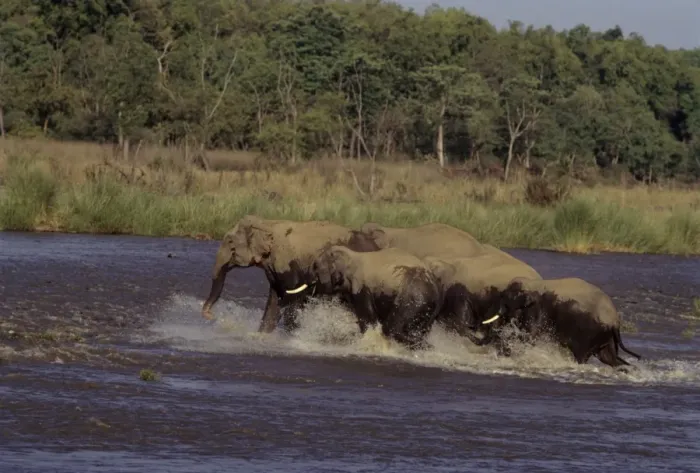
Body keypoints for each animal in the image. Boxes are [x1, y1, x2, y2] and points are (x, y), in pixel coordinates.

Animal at [201, 215, 380, 333]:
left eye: (230, 243)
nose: (209, 315)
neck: (266, 223)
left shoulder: (288, 263)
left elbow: (293, 298)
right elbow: (274, 300)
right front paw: (262, 336)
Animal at [284, 245, 442, 350]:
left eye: (315, 266)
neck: (351, 256)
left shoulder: (362, 288)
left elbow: (367, 319)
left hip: (412, 298)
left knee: (391, 328)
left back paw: (427, 347)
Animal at [466, 277, 643, 369]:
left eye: (504, 300)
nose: (469, 327)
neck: (533, 284)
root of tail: (615, 321)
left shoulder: (539, 312)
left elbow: (530, 337)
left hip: (590, 333)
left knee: (582, 356)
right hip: (605, 336)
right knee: (608, 358)